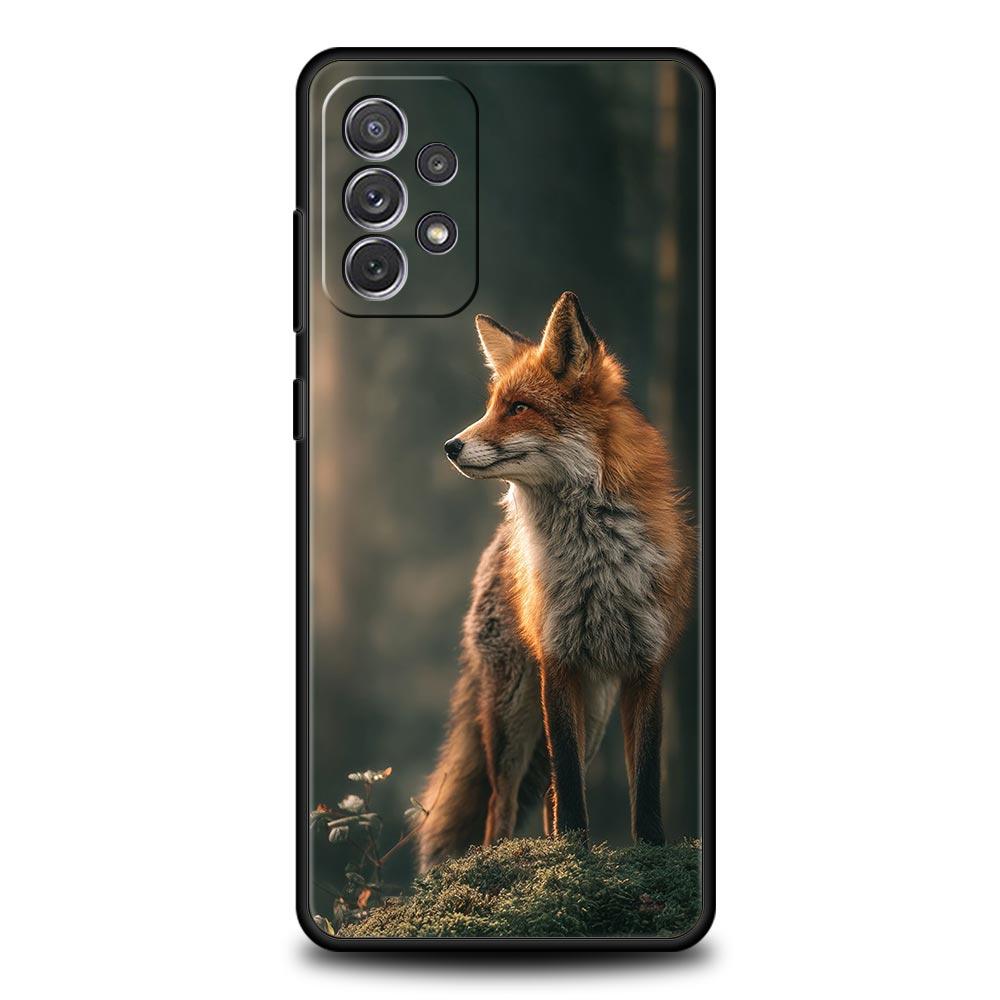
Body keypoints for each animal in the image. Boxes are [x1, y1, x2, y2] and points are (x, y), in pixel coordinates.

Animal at [415, 292, 695, 873]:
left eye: (519, 408)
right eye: (492, 406)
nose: (450, 446)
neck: (595, 559)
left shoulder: (646, 665)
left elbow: (645, 779)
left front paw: (647, 852)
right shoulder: (558, 659)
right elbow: (566, 783)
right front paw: (571, 849)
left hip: (595, 708)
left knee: (547, 790)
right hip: (514, 710)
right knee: (502, 800)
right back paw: (499, 857)